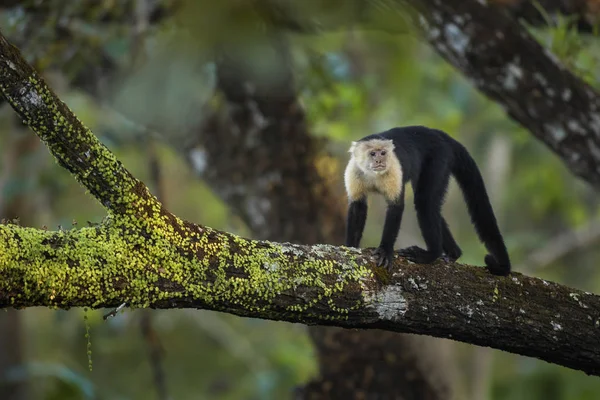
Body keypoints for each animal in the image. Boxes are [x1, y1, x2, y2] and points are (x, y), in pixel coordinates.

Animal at [342, 125, 510, 276]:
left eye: (383, 153)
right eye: (373, 153)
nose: (379, 160)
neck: (373, 174)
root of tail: (438, 133)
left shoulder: (394, 169)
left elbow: (396, 206)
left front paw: (385, 250)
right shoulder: (354, 170)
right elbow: (358, 206)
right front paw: (350, 248)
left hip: (439, 157)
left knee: (425, 202)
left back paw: (431, 255)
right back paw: (453, 253)